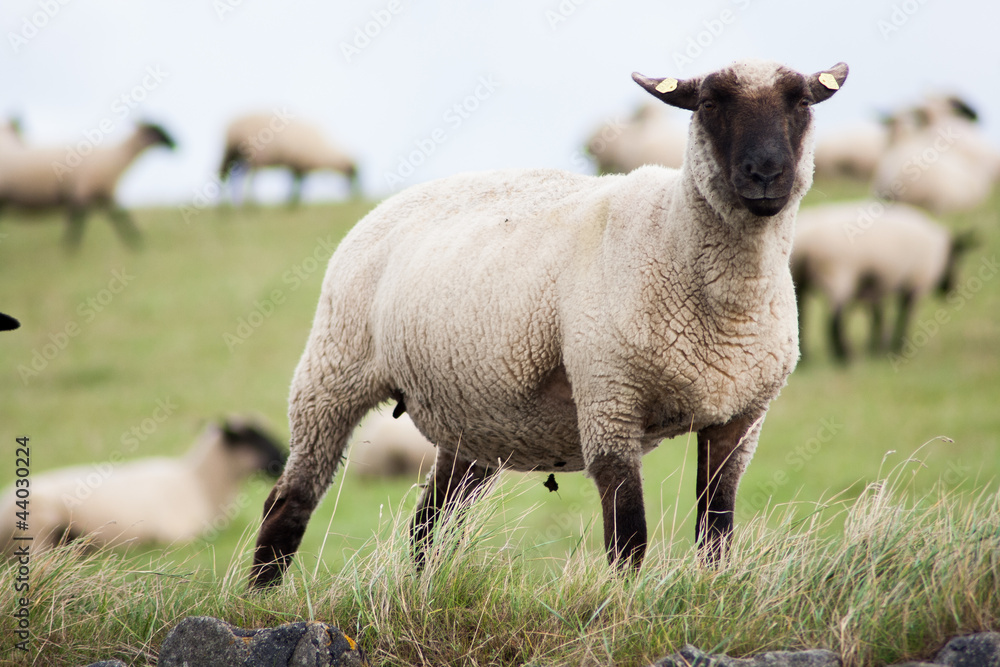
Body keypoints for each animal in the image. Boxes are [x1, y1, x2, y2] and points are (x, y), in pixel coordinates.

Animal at [0, 122, 175, 249]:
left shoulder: (103, 195)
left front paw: (138, 246)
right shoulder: (84, 193)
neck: (116, 157)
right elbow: (77, 226)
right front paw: (70, 254)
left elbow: (121, 219)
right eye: (157, 130)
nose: (176, 145)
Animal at [219, 113, 359, 205]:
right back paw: (247, 203)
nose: (350, 195)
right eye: (350, 174)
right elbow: (297, 184)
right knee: (243, 177)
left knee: (234, 175)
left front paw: (293, 201)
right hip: (251, 154)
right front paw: (294, 201)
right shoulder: (299, 164)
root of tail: (232, 123)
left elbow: (297, 184)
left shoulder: (299, 166)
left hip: (239, 154)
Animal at [248, 59, 849, 589]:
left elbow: (716, 531)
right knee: (290, 498)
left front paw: (708, 589)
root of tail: (390, 202)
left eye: (801, 103)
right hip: (332, 371)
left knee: (429, 523)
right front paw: (624, 606)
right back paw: (262, 594)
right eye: (707, 104)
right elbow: (628, 535)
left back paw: (421, 591)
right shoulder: (609, 399)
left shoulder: (741, 417)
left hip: (472, 419)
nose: (765, 174)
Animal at [790, 200, 975, 362]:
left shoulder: (877, 286)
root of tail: (805, 242)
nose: (950, 289)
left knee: (802, 317)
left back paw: (807, 358)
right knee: (834, 320)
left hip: (801, 280)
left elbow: (878, 315)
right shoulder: (914, 283)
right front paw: (899, 347)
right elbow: (905, 315)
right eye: (956, 258)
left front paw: (878, 347)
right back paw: (845, 356)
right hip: (838, 274)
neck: (938, 250)